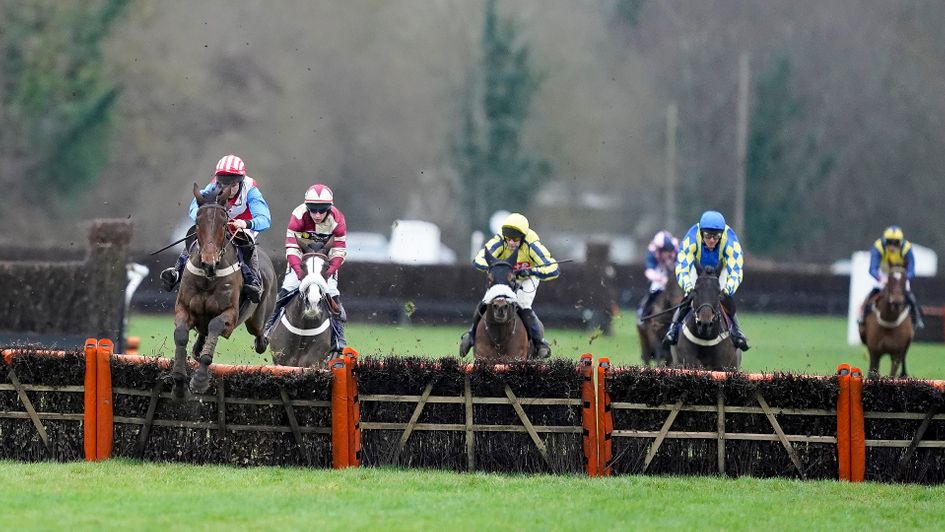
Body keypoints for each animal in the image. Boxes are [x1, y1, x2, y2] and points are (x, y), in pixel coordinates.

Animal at [170, 185, 276, 396]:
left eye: (224, 222)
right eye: (198, 221)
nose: (208, 262)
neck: (208, 277)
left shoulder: (230, 314)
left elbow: (215, 326)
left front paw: (200, 381)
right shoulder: (184, 308)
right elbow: (181, 335)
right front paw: (178, 382)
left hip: (257, 319)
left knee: (259, 334)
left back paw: (262, 341)